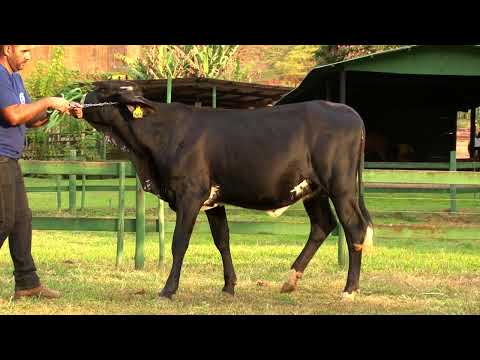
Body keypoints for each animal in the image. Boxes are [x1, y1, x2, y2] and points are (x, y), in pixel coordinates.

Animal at [83, 81, 376, 300]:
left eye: (105, 90)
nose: (83, 97)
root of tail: (347, 111)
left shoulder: (191, 194)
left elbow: (180, 242)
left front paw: (167, 290)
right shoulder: (214, 200)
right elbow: (222, 240)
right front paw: (228, 286)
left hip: (341, 186)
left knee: (354, 228)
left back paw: (349, 290)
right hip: (313, 189)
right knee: (322, 225)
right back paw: (290, 280)